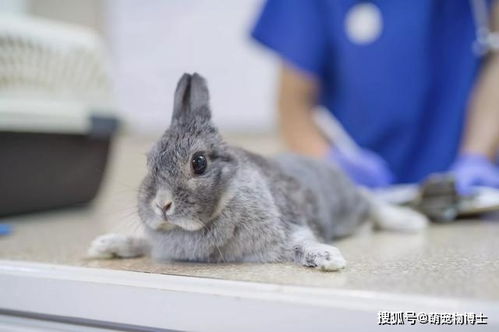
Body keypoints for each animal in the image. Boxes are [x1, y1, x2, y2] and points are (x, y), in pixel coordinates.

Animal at [89, 72, 426, 270]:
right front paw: (106, 245)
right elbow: (145, 244)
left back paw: (411, 222)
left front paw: (329, 258)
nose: (162, 204)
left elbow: (301, 244)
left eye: (199, 162)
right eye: (149, 162)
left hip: (350, 208)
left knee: (371, 201)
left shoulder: (290, 226)